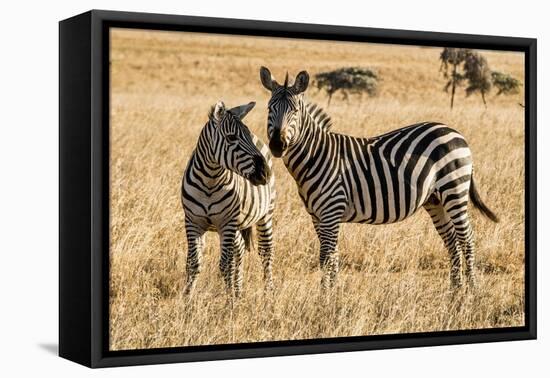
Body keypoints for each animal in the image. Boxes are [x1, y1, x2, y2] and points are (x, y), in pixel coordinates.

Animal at [182, 102, 276, 296]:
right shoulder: (193, 222)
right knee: (239, 251)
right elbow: (193, 264)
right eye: (231, 137)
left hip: (265, 214)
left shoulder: (227, 223)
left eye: (246, 134)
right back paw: (238, 291)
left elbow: (226, 266)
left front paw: (229, 302)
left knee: (266, 252)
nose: (265, 173)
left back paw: (268, 294)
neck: (209, 181)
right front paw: (186, 299)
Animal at [258, 67, 500, 290]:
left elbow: (327, 257)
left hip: (454, 189)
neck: (316, 156)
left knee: (466, 238)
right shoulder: (317, 217)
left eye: (295, 111)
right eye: (269, 108)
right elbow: (331, 257)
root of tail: (455, 132)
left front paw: (326, 295)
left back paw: (472, 290)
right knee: (451, 240)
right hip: (435, 200)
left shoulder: (331, 212)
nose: (277, 145)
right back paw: (455, 290)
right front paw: (331, 292)